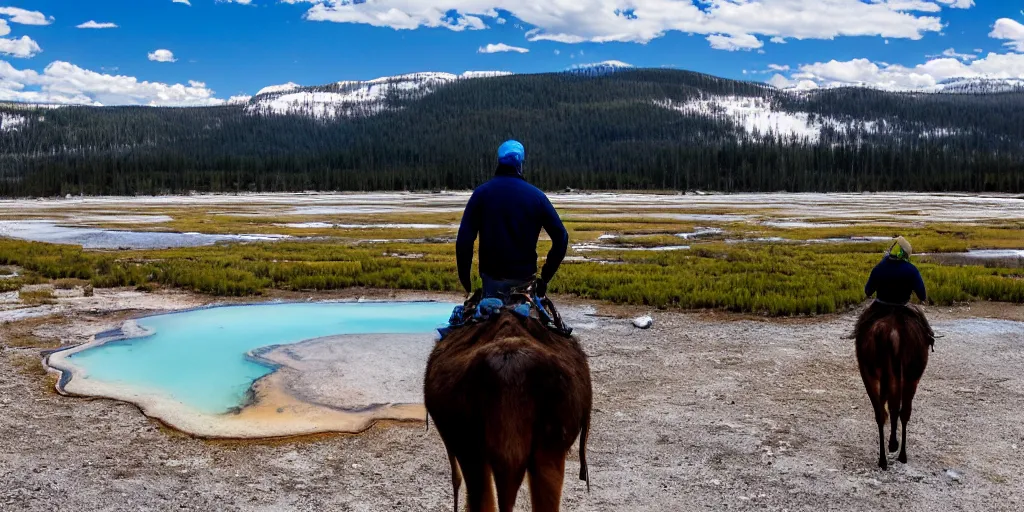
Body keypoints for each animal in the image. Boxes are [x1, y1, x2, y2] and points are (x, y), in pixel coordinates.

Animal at [851, 301, 933, 468]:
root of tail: (892, 334)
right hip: (908, 376)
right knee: (899, 411)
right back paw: (898, 453)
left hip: (872, 373)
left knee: (883, 412)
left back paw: (885, 458)